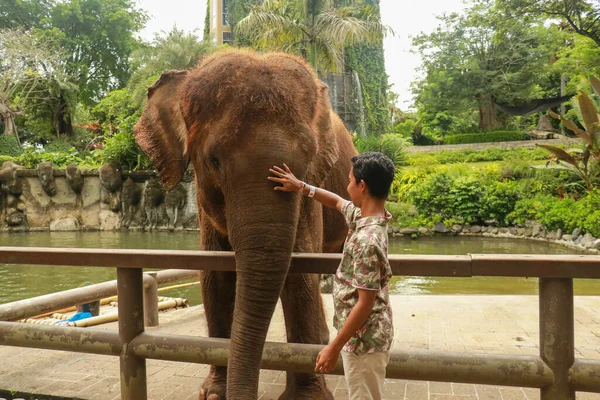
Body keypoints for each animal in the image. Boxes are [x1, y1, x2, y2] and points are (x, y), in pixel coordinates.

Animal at [136, 50, 356, 400]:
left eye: (308, 159)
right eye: (213, 161)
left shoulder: (312, 190)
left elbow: (300, 274)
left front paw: (306, 399)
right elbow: (216, 275)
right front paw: (215, 394)